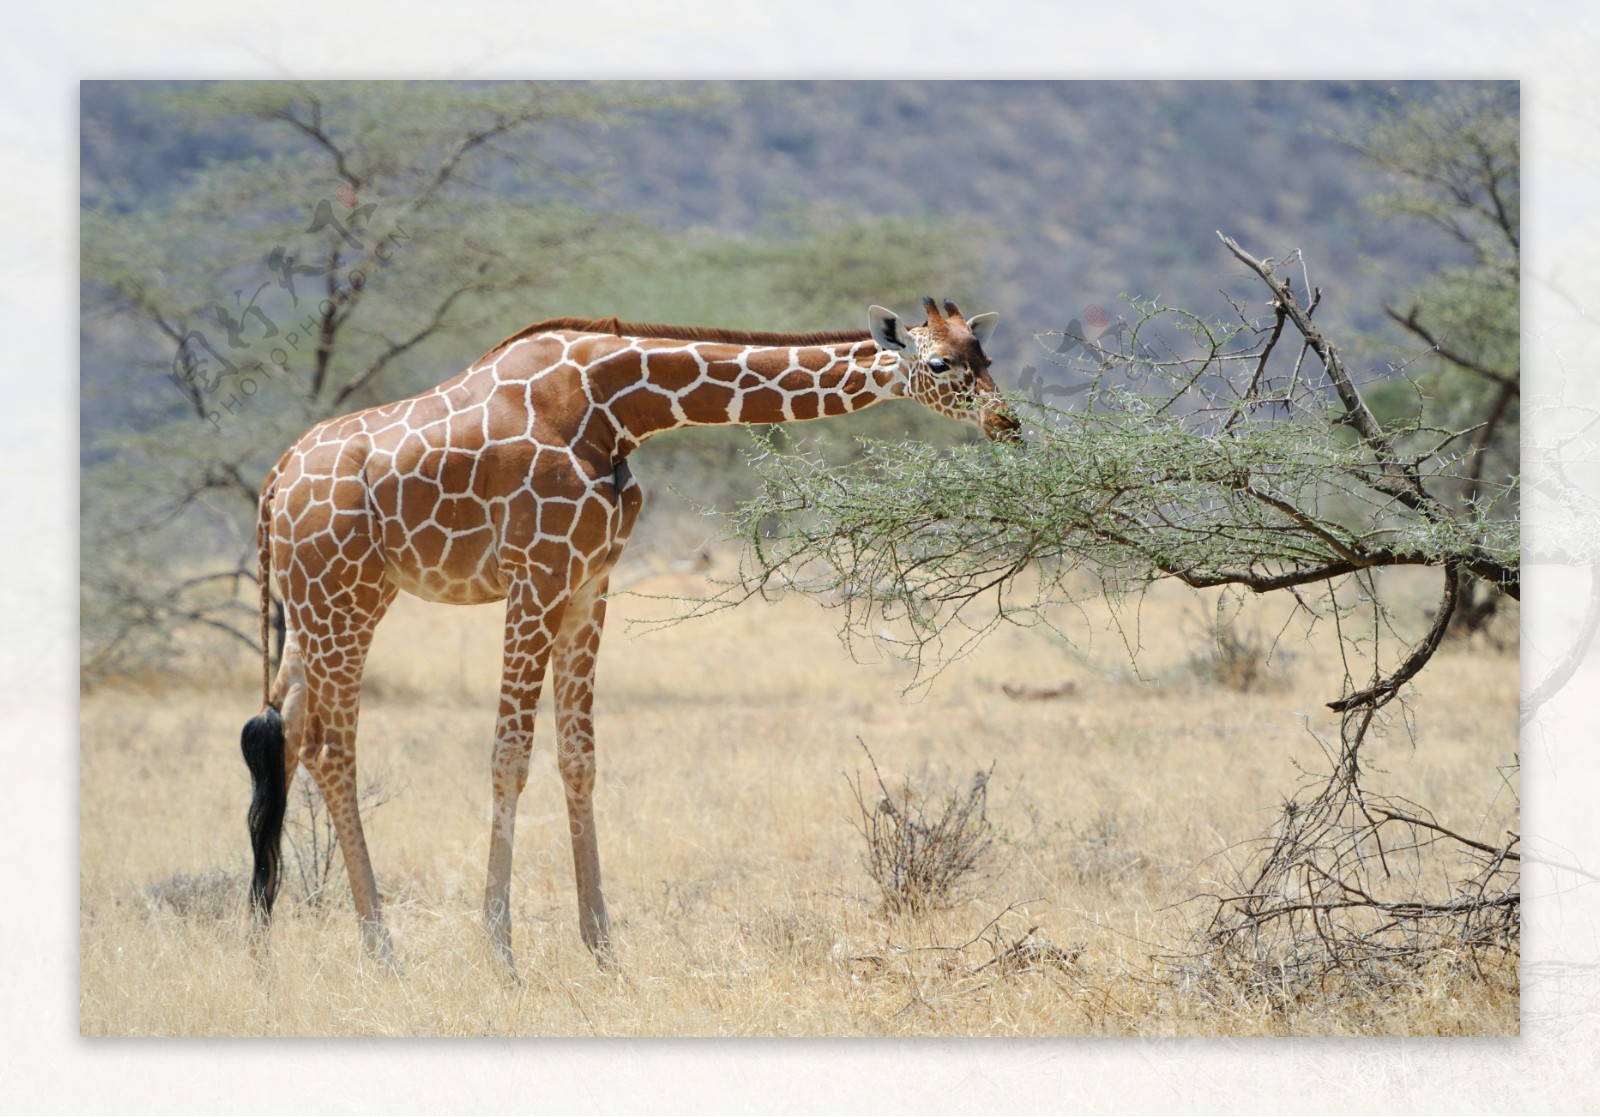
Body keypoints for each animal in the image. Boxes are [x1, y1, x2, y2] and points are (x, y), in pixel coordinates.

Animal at [240, 294, 1011, 966]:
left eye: (986, 355)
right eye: (940, 363)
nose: (1008, 422)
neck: (615, 408)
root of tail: (274, 483)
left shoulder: (589, 582)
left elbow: (579, 757)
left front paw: (603, 949)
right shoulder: (535, 574)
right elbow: (509, 758)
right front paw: (500, 954)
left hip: (325, 603)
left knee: (283, 735)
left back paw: (263, 950)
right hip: (341, 595)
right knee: (332, 749)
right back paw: (382, 954)